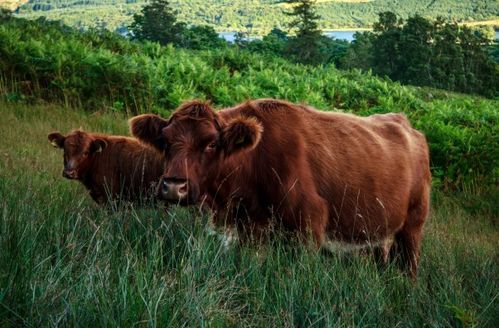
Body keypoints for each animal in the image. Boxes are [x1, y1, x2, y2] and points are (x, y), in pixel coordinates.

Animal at [131, 99, 432, 276]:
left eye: (212, 144)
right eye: (165, 141)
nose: (174, 186)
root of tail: (409, 127)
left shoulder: (309, 225)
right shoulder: (250, 229)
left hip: (412, 228)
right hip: (379, 235)